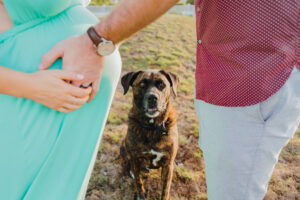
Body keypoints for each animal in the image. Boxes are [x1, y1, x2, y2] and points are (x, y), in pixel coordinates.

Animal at [119, 69, 179, 199]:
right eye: (142, 84)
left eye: (161, 85)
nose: (152, 98)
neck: (151, 128)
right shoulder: (135, 158)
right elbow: (138, 181)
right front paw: (141, 195)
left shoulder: (168, 164)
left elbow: (165, 189)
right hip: (123, 145)